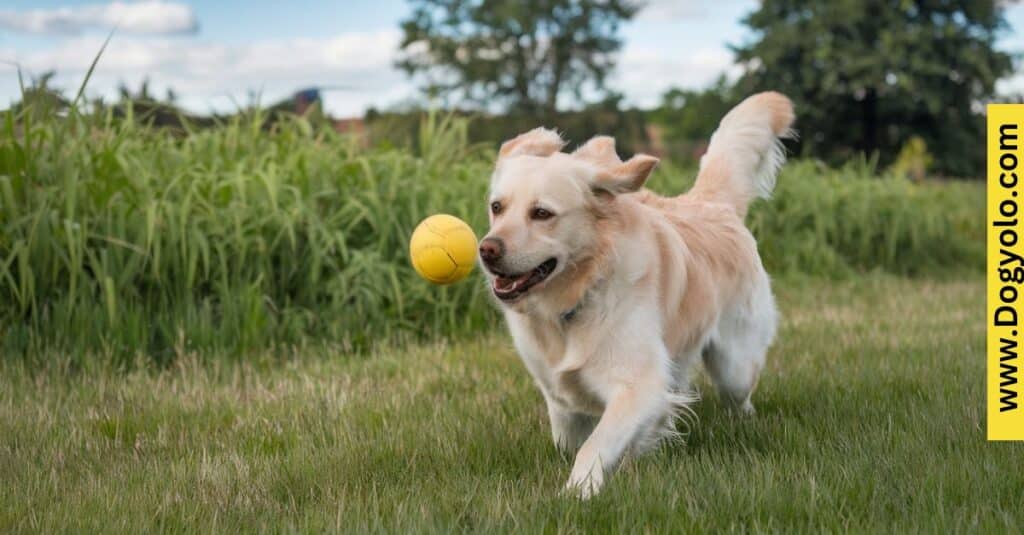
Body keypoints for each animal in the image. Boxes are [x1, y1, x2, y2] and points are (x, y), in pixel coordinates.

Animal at [475, 91, 794, 496]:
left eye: (542, 213)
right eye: (497, 207)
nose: (487, 250)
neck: (576, 298)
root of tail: (710, 203)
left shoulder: (640, 385)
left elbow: (595, 443)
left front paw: (576, 493)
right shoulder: (559, 397)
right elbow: (568, 439)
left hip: (735, 364)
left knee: (740, 396)